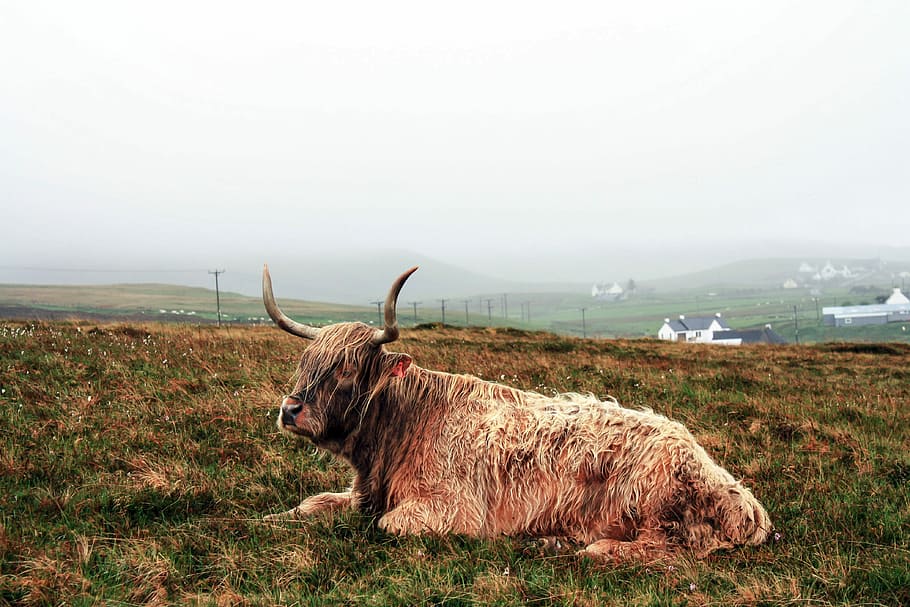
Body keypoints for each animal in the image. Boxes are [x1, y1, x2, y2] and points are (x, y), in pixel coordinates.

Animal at [262, 265, 771, 560]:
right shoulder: (365, 493)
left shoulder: (451, 509)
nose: (290, 409)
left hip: (654, 506)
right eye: (305, 362)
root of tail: (743, 499)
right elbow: (313, 504)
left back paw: (579, 545)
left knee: (664, 549)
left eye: (346, 369)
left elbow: (387, 525)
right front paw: (271, 521)